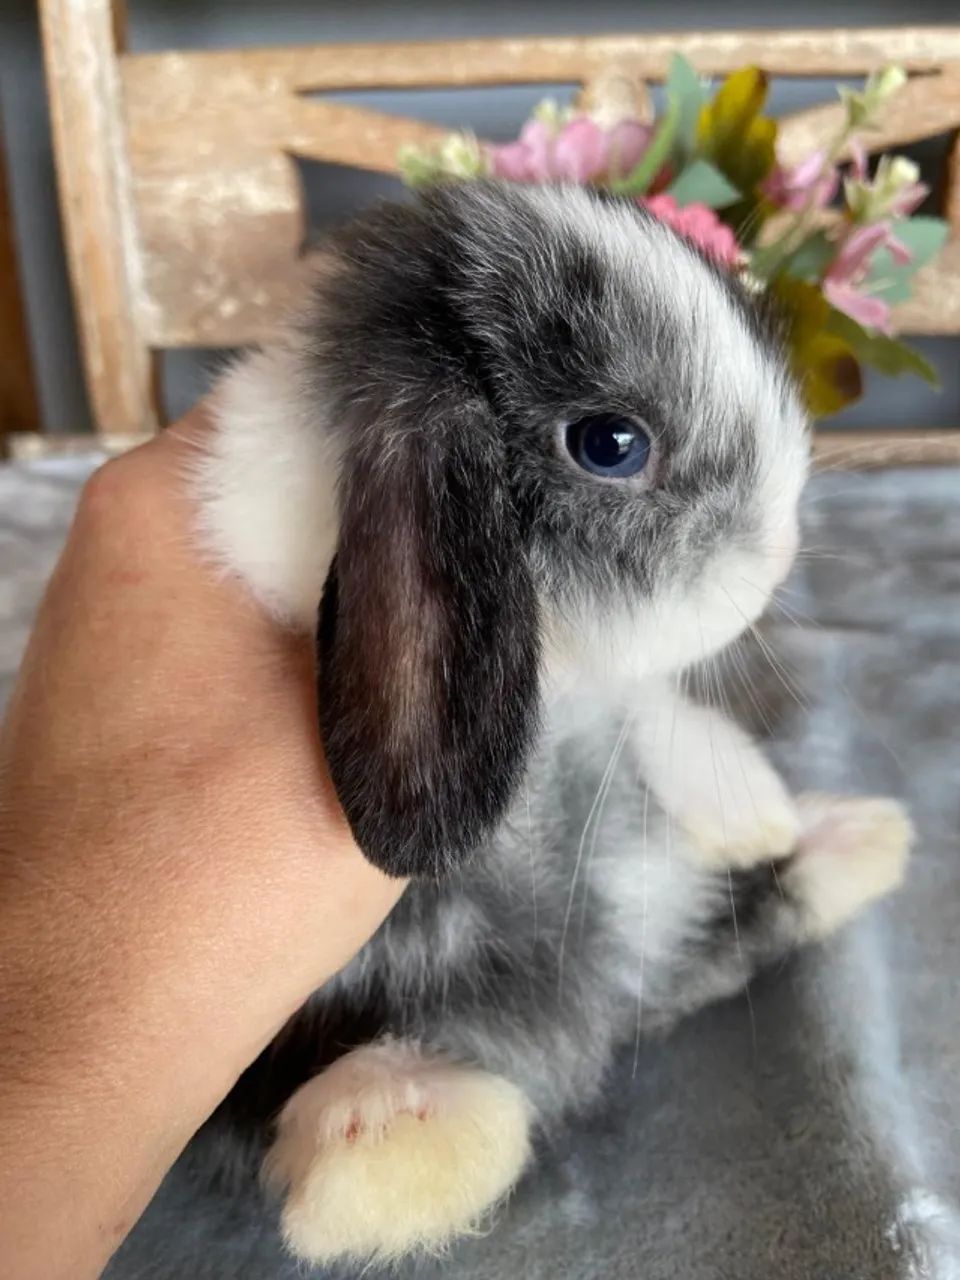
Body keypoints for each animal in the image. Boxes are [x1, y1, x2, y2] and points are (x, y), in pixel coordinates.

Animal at [188, 181, 912, 1268]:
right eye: (610, 444)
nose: (781, 549)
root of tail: (585, 1021)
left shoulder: (599, 705)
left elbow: (653, 709)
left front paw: (754, 811)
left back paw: (850, 836)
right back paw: (394, 1130)